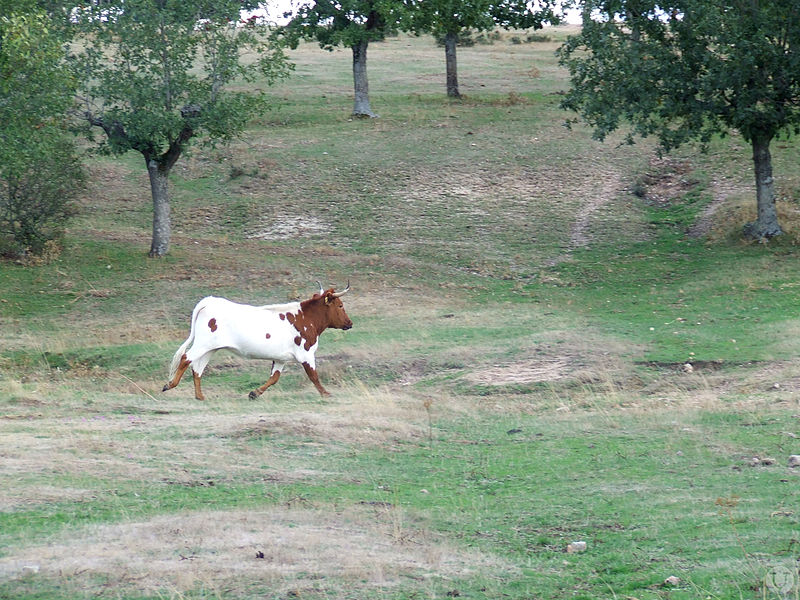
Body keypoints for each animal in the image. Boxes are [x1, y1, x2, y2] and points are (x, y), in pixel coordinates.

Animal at [161, 284, 352, 400]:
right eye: (340, 305)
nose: (350, 323)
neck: (306, 318)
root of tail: (209, 301)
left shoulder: (281, 358)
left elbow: (274, 377)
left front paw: (255, 392)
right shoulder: (306, 353)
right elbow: (313, 375)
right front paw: (326, 393)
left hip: (210, 348)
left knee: (197, 368)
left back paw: (200, 396)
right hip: (203, 344)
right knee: (186, 358)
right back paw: (170, 385)